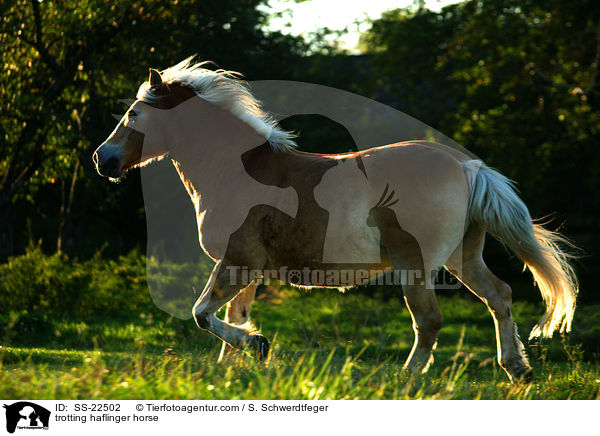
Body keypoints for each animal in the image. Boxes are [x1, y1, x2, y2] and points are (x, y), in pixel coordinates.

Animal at [92, 58, 576, 382]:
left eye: (134, 114)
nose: (102, 159)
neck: (234, 171)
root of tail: (467, 167)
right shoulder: (246, 269)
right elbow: (229, 316)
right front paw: (233, 370)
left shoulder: (237, 260)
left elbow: (201, 314)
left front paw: (257, 348)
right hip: (464, 257)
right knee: (500, 296)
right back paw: (516, 370)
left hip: (415, 265)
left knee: (430, 320)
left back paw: (407, 378)